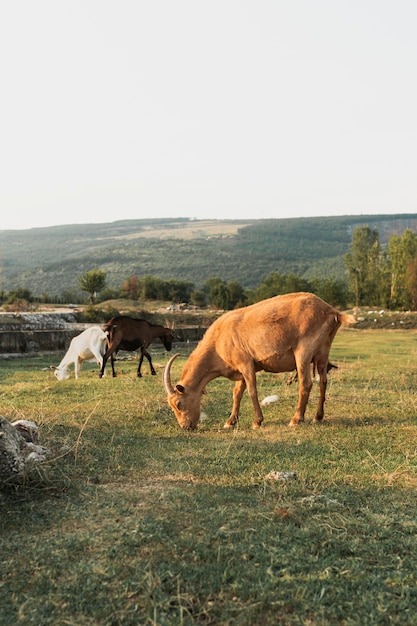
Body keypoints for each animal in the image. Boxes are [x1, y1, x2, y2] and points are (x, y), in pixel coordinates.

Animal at [164, 290, 352, 426]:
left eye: (179, 404)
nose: (186, 426)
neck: (217, 343)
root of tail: (332, 311)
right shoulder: (241, 368)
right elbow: (237, 393)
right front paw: (230, 422)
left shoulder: (245, 363)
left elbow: (252, 391)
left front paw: (257, 421)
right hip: (323, 351)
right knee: (323, 381)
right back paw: (318, 417)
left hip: (303, 351)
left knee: (306, 383)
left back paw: (296, 419)